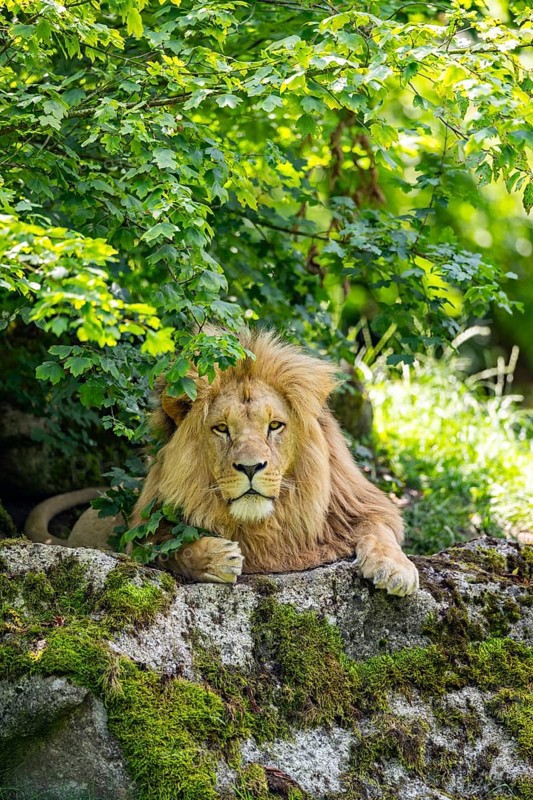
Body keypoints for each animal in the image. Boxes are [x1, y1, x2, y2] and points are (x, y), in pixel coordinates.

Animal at [25, 330, 419, 595]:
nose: (250, 467)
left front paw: (395, 569)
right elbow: (171, 548)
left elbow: (380, 529)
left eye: (274, 426)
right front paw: (217, 558)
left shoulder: (357, 504)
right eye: (221, 429)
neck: (263, 526)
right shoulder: (141, 535)